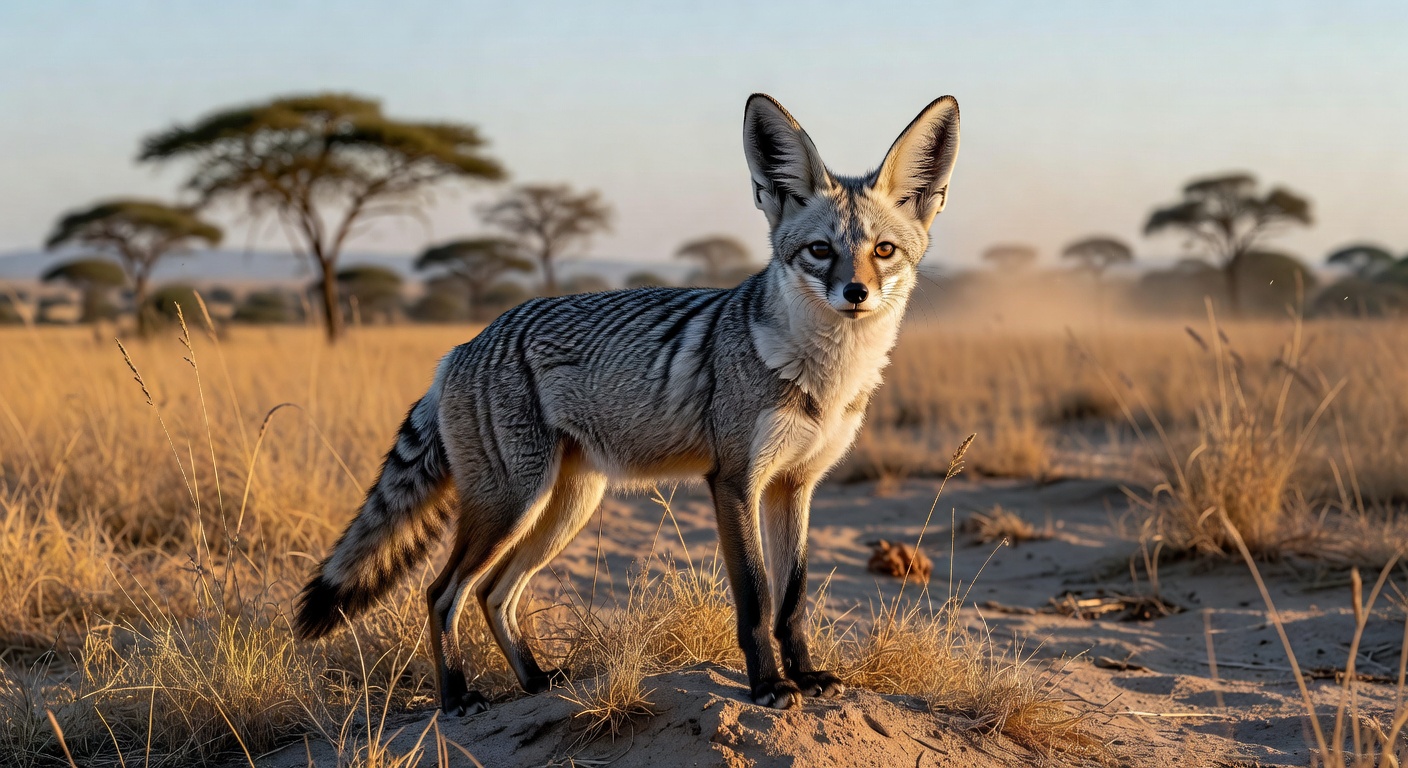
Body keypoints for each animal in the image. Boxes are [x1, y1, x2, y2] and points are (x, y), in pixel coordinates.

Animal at [293, 93, 960, 714]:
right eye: (820, 251)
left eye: (883, 251)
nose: (856, 293)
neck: (825, 376)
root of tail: (463, 345)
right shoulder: (735, 482)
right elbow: (755, 601)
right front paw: (768, 686)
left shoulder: (795, 485)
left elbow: (791, 600)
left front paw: (805, 675)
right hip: (513, 504)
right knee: (442, 593)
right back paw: (457, 698)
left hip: (564, 508)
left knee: (493, 593)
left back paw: (536, 681)